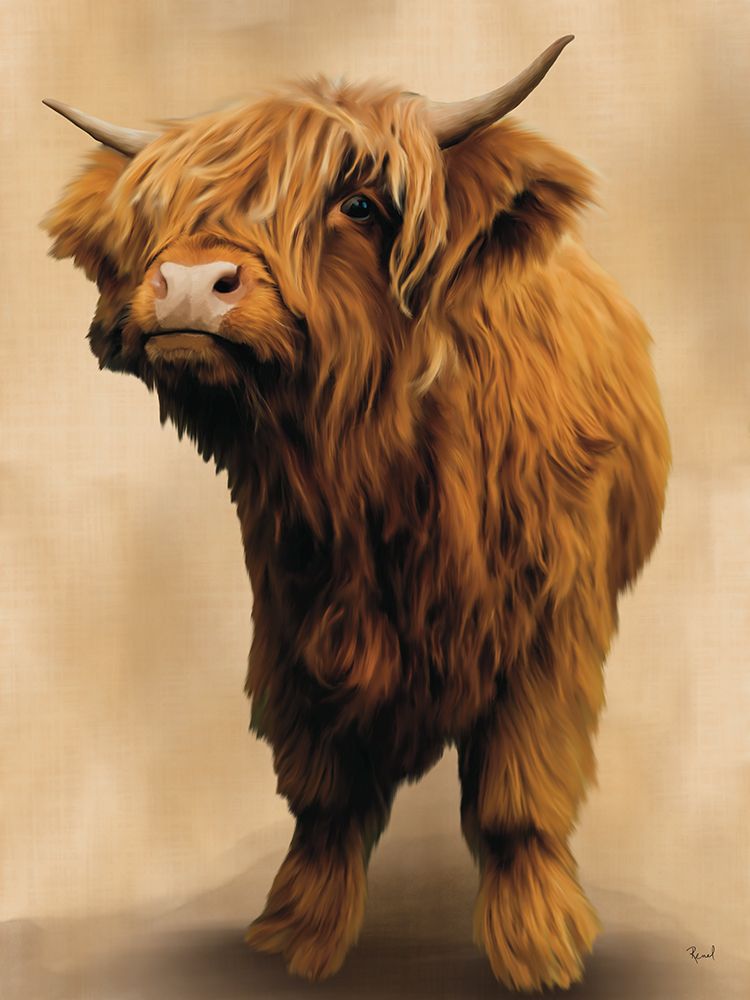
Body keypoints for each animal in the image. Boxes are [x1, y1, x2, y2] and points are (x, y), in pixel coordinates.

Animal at [42, 36, 670, 992]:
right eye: (159, 213)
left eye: (359, 203)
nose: (188, 284)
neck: (379, 475)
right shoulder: (292, 614)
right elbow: (323, 791)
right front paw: (297, 930)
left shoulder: (552, 627)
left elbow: (519, 793)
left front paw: (537, 945)